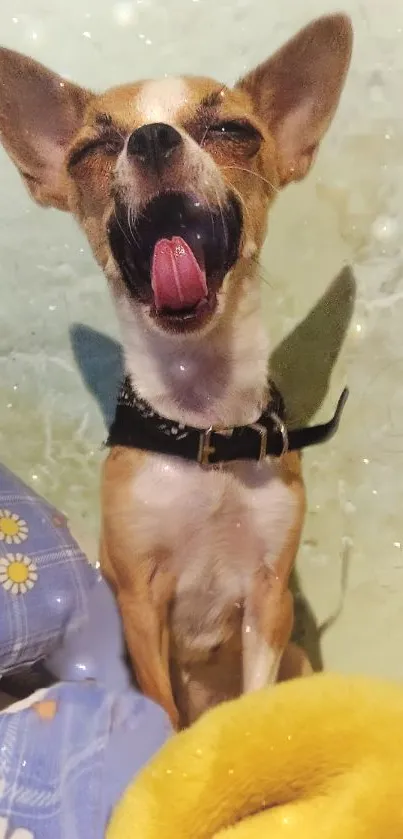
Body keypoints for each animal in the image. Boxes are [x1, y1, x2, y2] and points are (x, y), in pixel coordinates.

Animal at [0, 16, 354, 732]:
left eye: (233, 130)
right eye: (92, 148)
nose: (153, 137)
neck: (203, 422)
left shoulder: (269, 601)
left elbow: (254, 698)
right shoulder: (139, 603)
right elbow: (162, 709)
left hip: (299, 655)